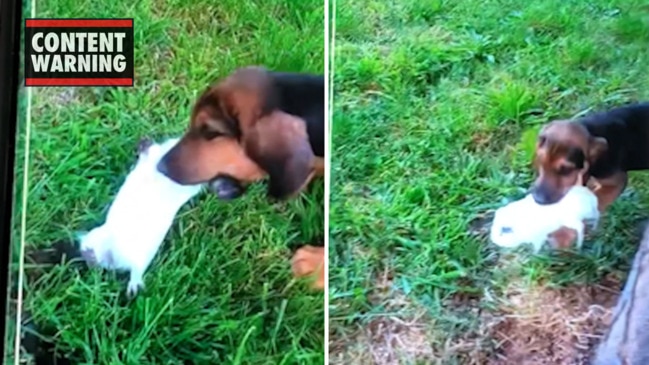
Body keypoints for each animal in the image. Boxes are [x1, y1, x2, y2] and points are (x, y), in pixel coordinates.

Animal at [528, 101, 648, 246]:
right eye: (539, 162)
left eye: (566, 170)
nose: (538, 200)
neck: (590, 130)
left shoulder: (615, 181)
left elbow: (595, 200)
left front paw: (563, 235)